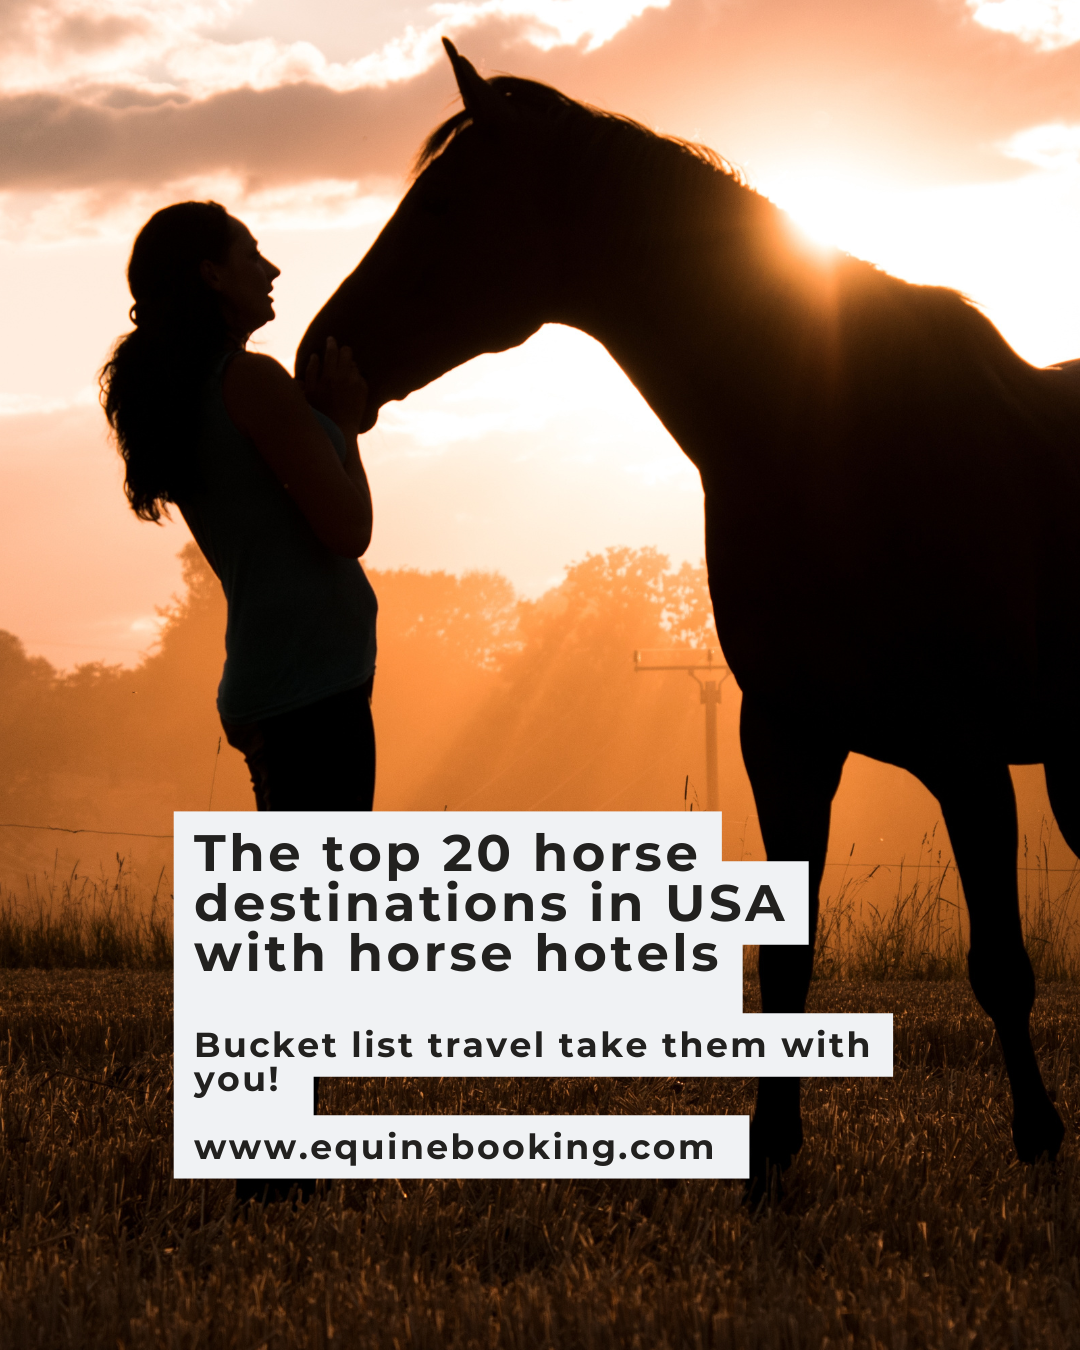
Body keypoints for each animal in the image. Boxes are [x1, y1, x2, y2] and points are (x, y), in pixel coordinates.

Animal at [297, 40, 1078, 1187]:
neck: (836, 435)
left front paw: (1037, 1137)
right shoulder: (787, 738)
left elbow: (1000, 964)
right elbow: (788, 960)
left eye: (442, 206)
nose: (319, 357)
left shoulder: (966, 756)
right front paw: (770, 1158)